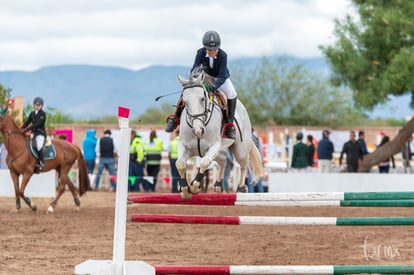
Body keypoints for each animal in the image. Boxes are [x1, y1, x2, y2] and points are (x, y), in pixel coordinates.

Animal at [175, 71, 262, 201]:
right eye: (184, 102)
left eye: (202, 99)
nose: (198, 131)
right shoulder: (185, 146)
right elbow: (180, 164)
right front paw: (185, 190)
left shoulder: (214, 146)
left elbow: (204, 162)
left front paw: (195, 187)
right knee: (223, 160)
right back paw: (218, 185)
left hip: (240, 150)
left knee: (243, 164)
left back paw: (241, 189)